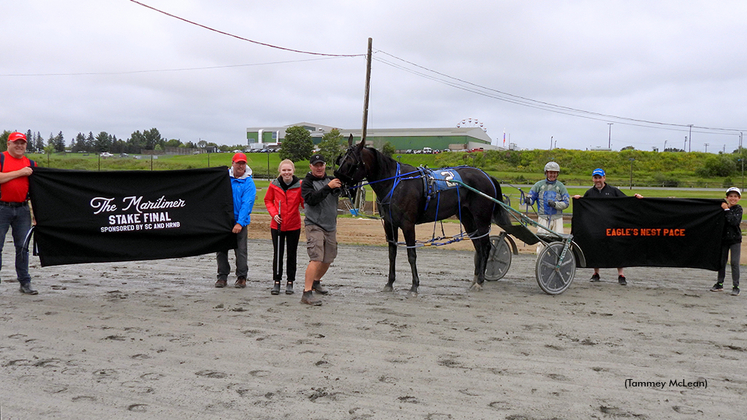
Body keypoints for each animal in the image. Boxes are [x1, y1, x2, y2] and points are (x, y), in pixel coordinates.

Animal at [336, 136, 512, 294]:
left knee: (486, 247)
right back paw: (475, 279)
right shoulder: (389, 224)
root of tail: (487, 176)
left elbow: (411, 254)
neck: (395, 183)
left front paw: (414, 285)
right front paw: (390, 283)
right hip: (468, 219)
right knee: (478, 247)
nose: (338, 184)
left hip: (481, 219)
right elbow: (392, 254)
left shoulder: (408, 224)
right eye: (341, 159)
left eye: (351, 163)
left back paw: (480, 281)